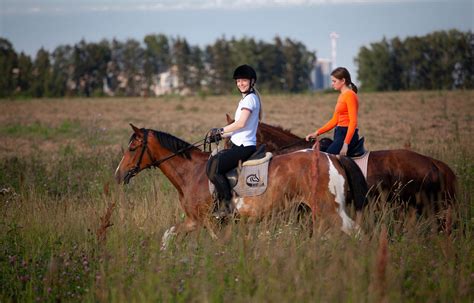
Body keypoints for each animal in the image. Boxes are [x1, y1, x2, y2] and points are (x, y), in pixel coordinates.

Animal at [115, 124, 366, 248]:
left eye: (132, 148)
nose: (118, 175)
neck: (192, 172)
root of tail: (333, 157)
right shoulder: (195, 220)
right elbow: (168, 235)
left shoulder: (210, 222)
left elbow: (220, 246)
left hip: (330, 209)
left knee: (356, 232)